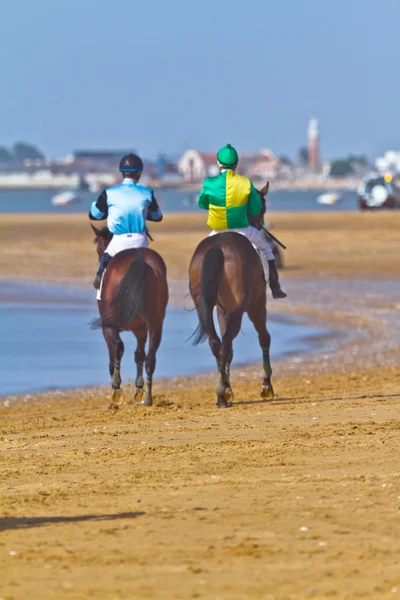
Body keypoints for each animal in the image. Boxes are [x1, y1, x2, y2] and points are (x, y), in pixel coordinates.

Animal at [91, 225, 168, 408]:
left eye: (98, 249)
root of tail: (139, 260)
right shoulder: (140, 329)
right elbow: (139, 354)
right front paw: (139, 389)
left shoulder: (108, 327)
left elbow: (114, 355)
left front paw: (116, 388)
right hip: (155, 324)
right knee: (150, 358)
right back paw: (148, 399)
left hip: (112, 325)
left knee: (119, 347)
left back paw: (118, 392)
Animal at [189, 184, 274, 408]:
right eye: (262, 206)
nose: (260, 224)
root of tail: (217, 247)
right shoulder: (256, 304)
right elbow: (264, 337)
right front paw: (266, 385)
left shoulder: (221, 308)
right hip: (240, 308)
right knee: (226, 343)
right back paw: (222, 392)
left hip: (205, 306)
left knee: (216, 343)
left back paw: (222, 391)